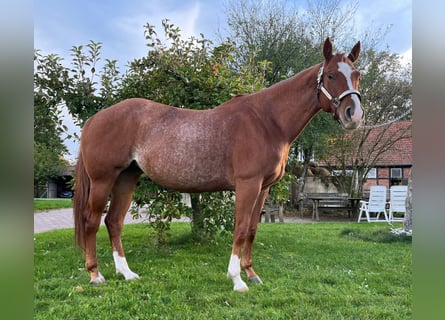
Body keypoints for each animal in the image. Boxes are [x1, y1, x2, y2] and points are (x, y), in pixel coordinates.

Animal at [74, 37, 362, 290]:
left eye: (357, 74)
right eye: (331, 76)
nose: (354, 114)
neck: (267, 121)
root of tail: (95, 119)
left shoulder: (264, 187)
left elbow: (252, 229)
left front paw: (252, 274)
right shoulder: (247, 185)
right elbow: (240, 228)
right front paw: (237, 280)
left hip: (127, 177)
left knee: (113, 221)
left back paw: (127, 273)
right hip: (103, 180)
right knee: (91, 221)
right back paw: (95, 275)